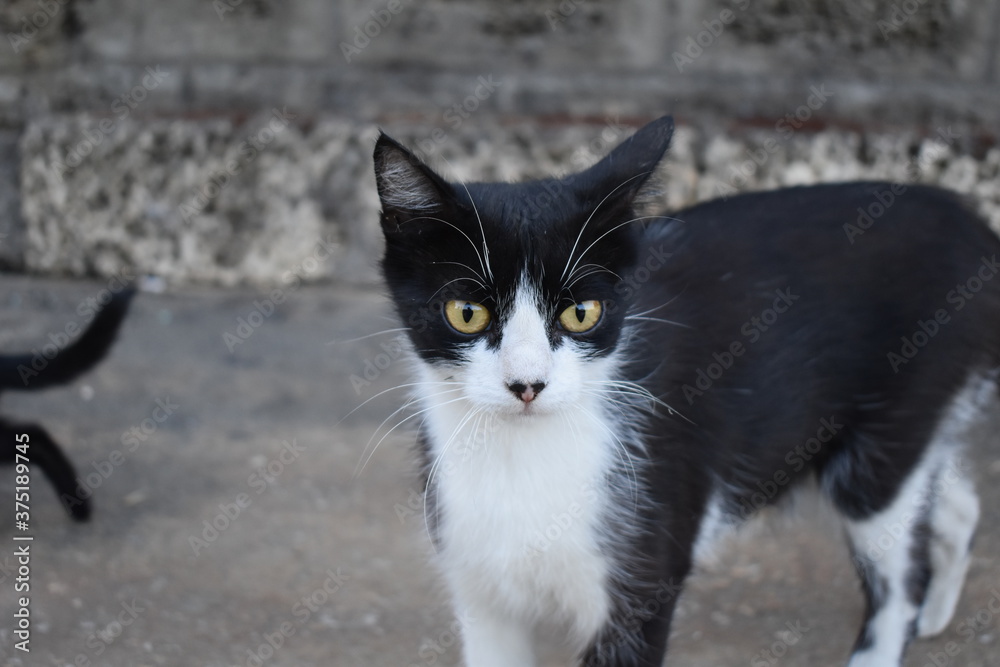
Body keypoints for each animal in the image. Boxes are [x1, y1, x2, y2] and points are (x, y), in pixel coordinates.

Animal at [372, 117, 996, 664]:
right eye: (467, 313)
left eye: (581, 312)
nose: (528, 384)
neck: (522, 459)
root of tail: (970, 223)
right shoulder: (478, 586)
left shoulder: (641, 583)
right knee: (950, 496)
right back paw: (936, 610)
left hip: (892, 424)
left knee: (896, 559)